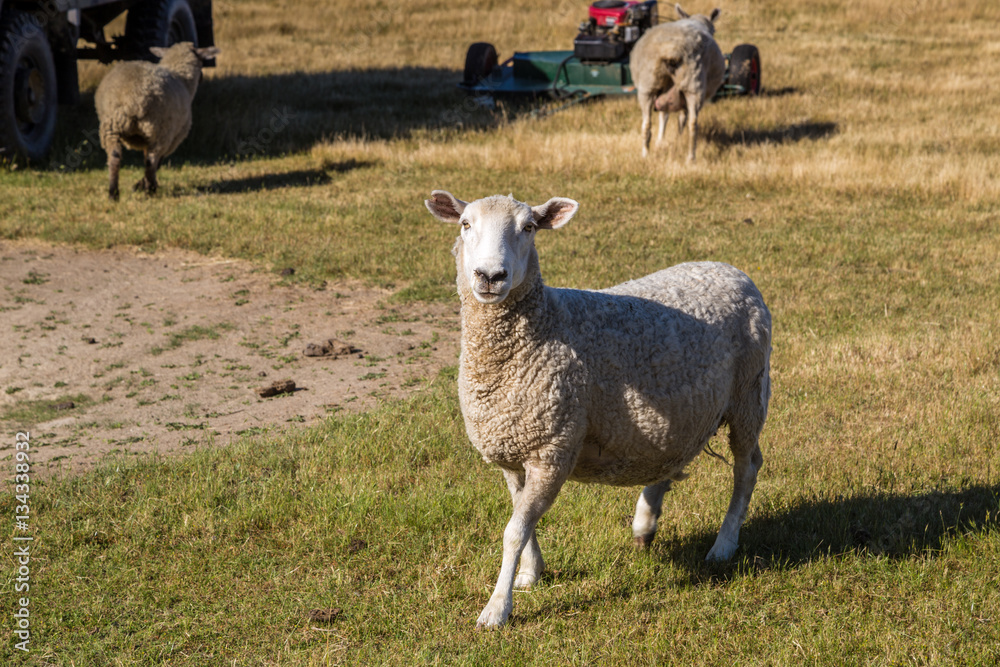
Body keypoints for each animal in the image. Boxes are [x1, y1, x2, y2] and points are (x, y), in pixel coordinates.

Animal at [95, 42, 218, 201]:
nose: (202, 77)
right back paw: (150, 190)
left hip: (111, 128)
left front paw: (140, 185)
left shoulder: (146, 138)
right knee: (151, 161)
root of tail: (131, 101)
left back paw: (113, 193)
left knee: (114, 157)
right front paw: (142, 185)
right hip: (160, 131)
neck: (182, 79)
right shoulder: (173, 138)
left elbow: (145, 157)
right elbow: (157, 163)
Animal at [424, 190, 771, 628]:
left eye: (529, 227)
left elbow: (514, 530)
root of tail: (732, 270)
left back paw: (723, 546)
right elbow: (522, 522)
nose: (490, 276)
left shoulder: (551, 449)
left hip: (748, 395)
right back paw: (645, 522)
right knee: (671, 457)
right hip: (684, 411)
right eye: (465, 224)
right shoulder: (515, 450)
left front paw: (497, 608)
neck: (545, 324)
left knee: (746, 469)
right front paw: (530, 573)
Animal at [630, 4, 725, 162]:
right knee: (693, 124)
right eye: (714, 30)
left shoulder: (664, 94)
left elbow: (664, 115)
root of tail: (672, 51)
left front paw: (660, 141)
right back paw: (691, 158)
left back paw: (645, 155)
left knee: (646, 124)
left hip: (647, 86)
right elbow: (681, 118)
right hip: (693, 85)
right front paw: (678, 139)